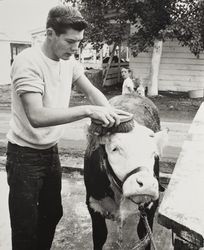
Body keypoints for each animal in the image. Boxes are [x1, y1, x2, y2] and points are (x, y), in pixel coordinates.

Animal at [83, 93, 167, 249]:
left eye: (154, 153)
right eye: (115, 149)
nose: (146, 185)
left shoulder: (150, 207)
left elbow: (145, 237)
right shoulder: (93, 204)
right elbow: (99, 236)